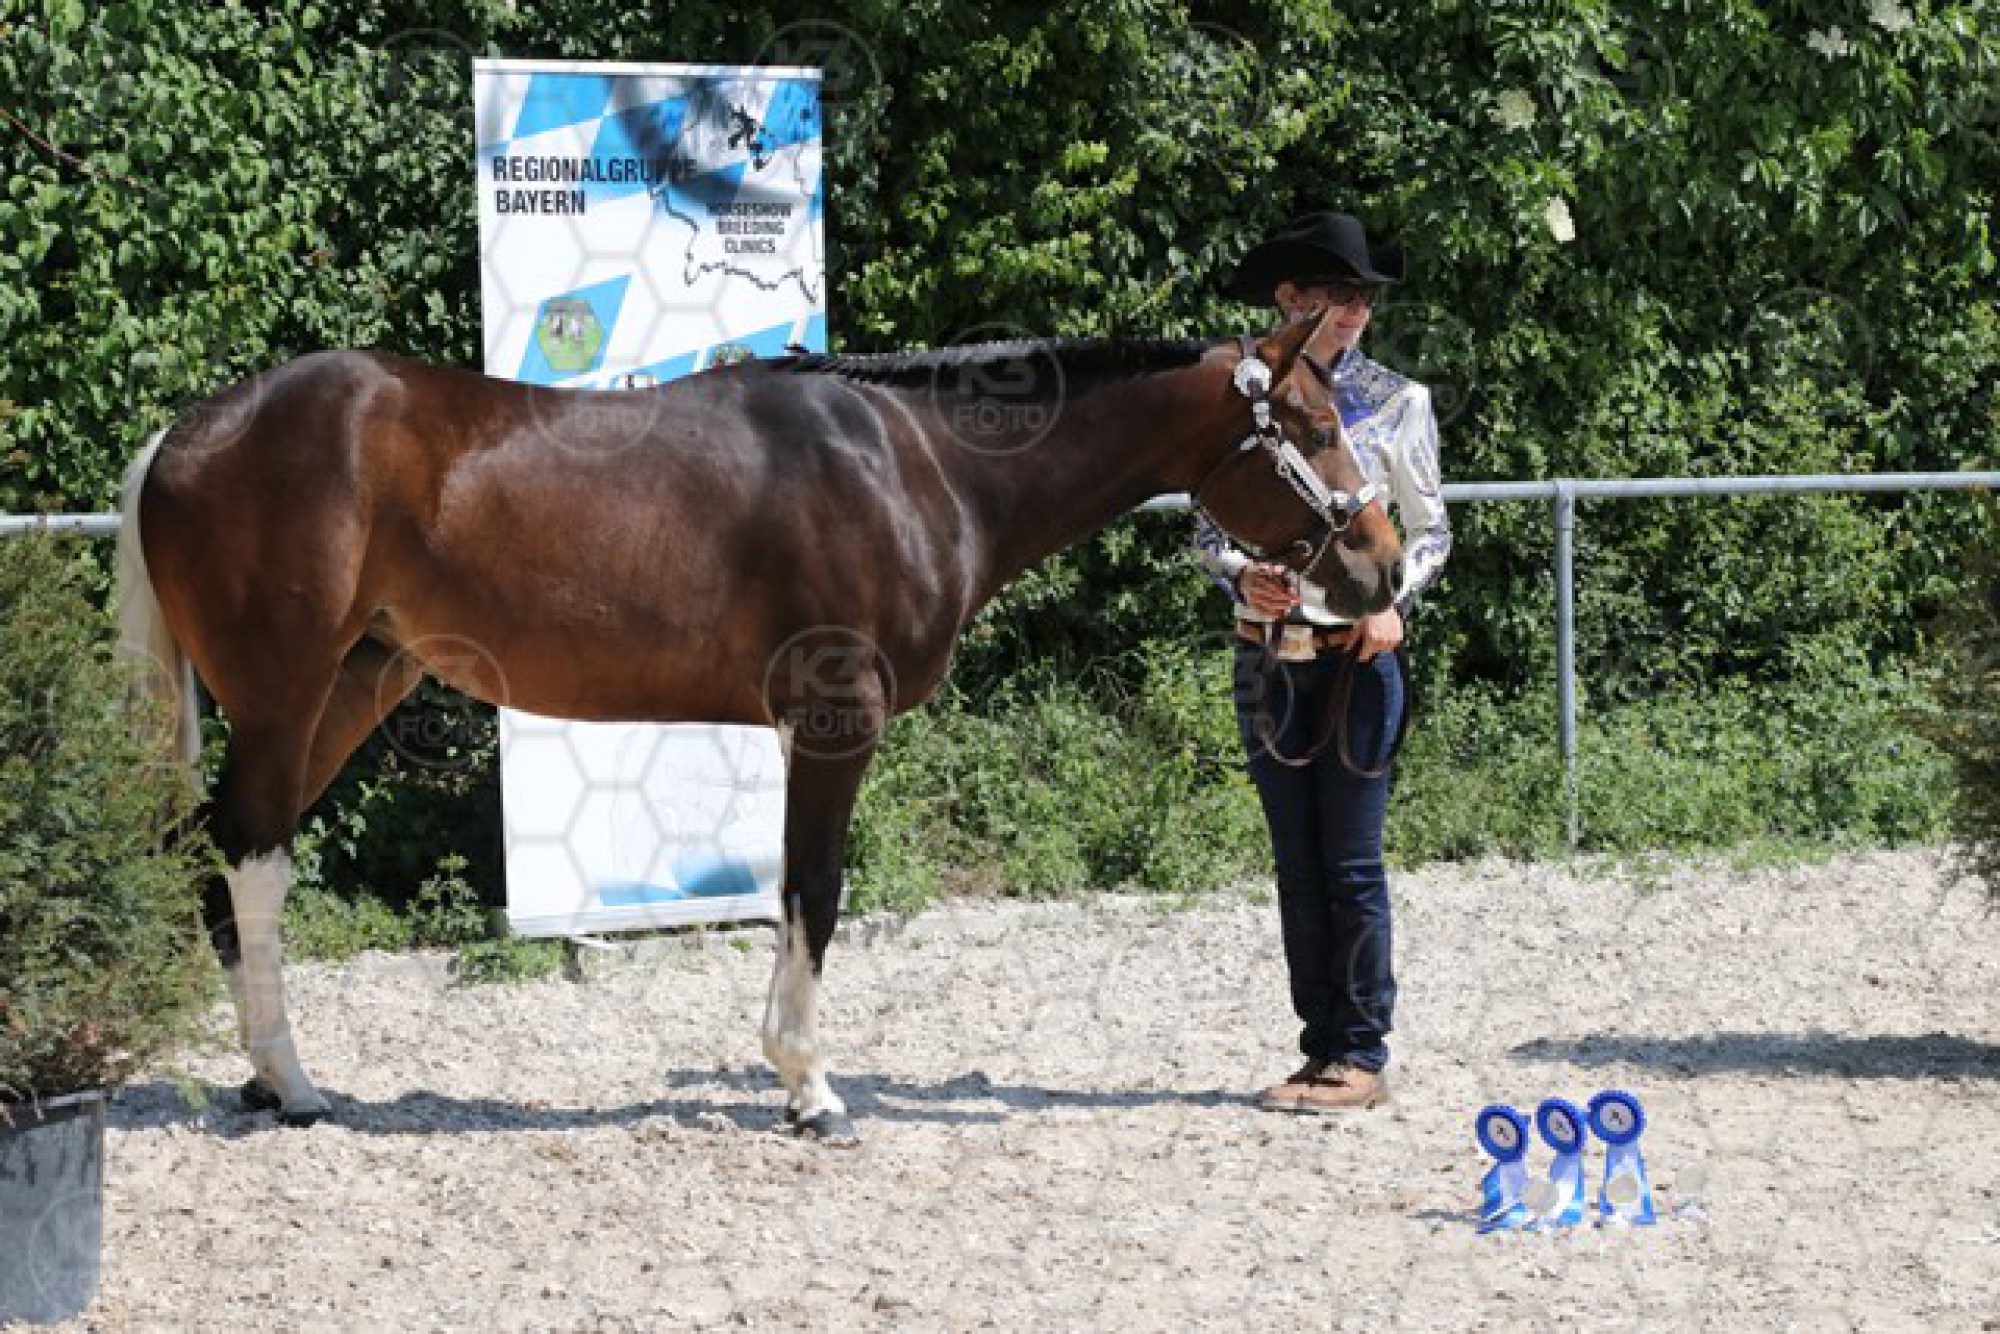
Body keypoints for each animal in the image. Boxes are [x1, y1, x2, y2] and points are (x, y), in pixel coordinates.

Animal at [113, 308, 1403, 1145]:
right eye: (1303, 417)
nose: (1382, 562)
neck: (916, 465)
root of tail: (186, 432)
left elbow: (789, 890)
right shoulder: (836, 715)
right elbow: (815, 888)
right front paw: (811, 1089)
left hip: (355, 681)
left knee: (215, 852)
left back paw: (260, 1077)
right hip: (286, 692)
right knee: (253, 857)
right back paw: (294, 1082)